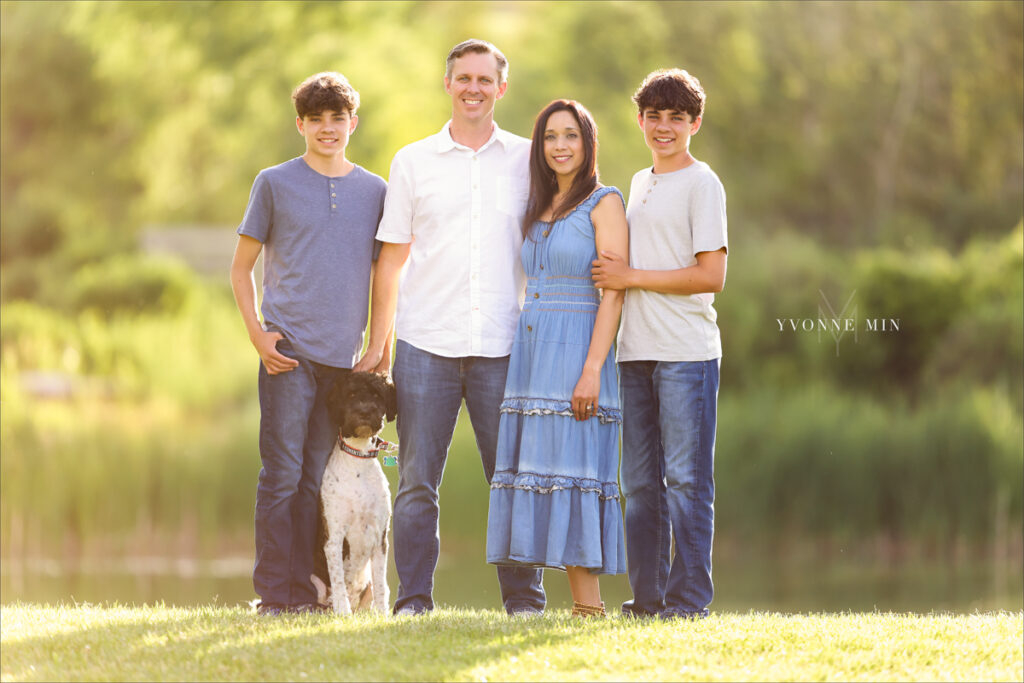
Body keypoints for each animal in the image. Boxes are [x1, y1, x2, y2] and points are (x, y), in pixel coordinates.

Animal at [311, 370, 395, 618]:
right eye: (351, 394)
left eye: (377, 395)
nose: (365, 412)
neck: (358, 459)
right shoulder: (334, 537)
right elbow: (338, 579)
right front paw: (342, 610)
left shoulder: (380, 537)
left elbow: (380, 583)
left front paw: (383, 615)